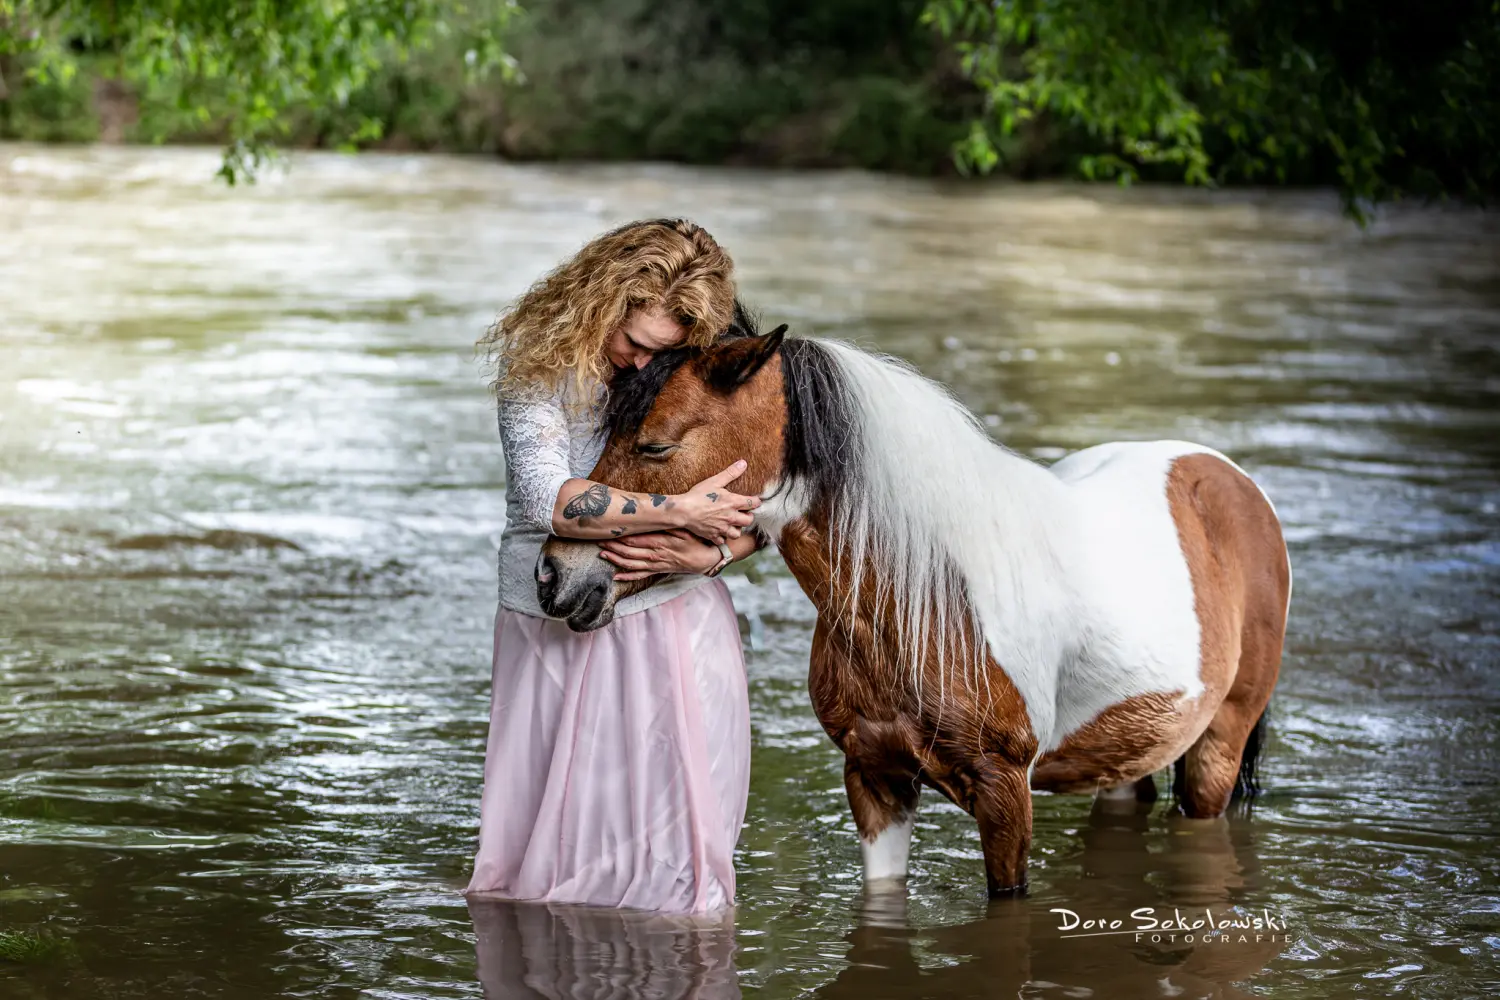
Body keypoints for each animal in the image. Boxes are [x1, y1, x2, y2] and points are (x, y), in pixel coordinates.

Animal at [540, 325, 1290, 893]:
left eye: (656, 445)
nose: (554, 575)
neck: (924, 601)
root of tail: (1224, 477)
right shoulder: (874, 779)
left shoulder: (1004, 794)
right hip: (1127, 756)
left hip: (1216, 753)